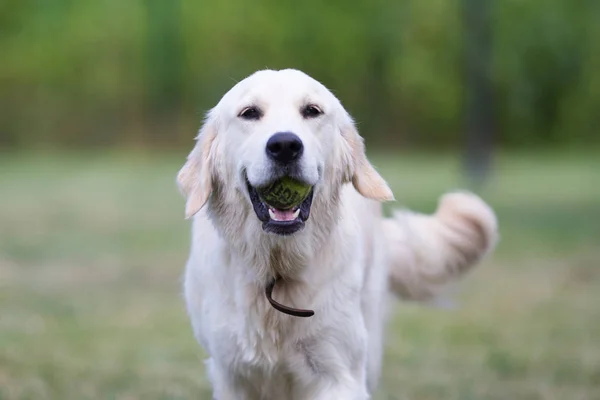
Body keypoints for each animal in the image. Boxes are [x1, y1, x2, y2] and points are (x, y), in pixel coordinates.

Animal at [177, 69, 496, 400]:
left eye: (312, 110)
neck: (277, 268)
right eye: (249, 113)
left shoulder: (338, 373)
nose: (285, 145)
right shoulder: (232, 375)